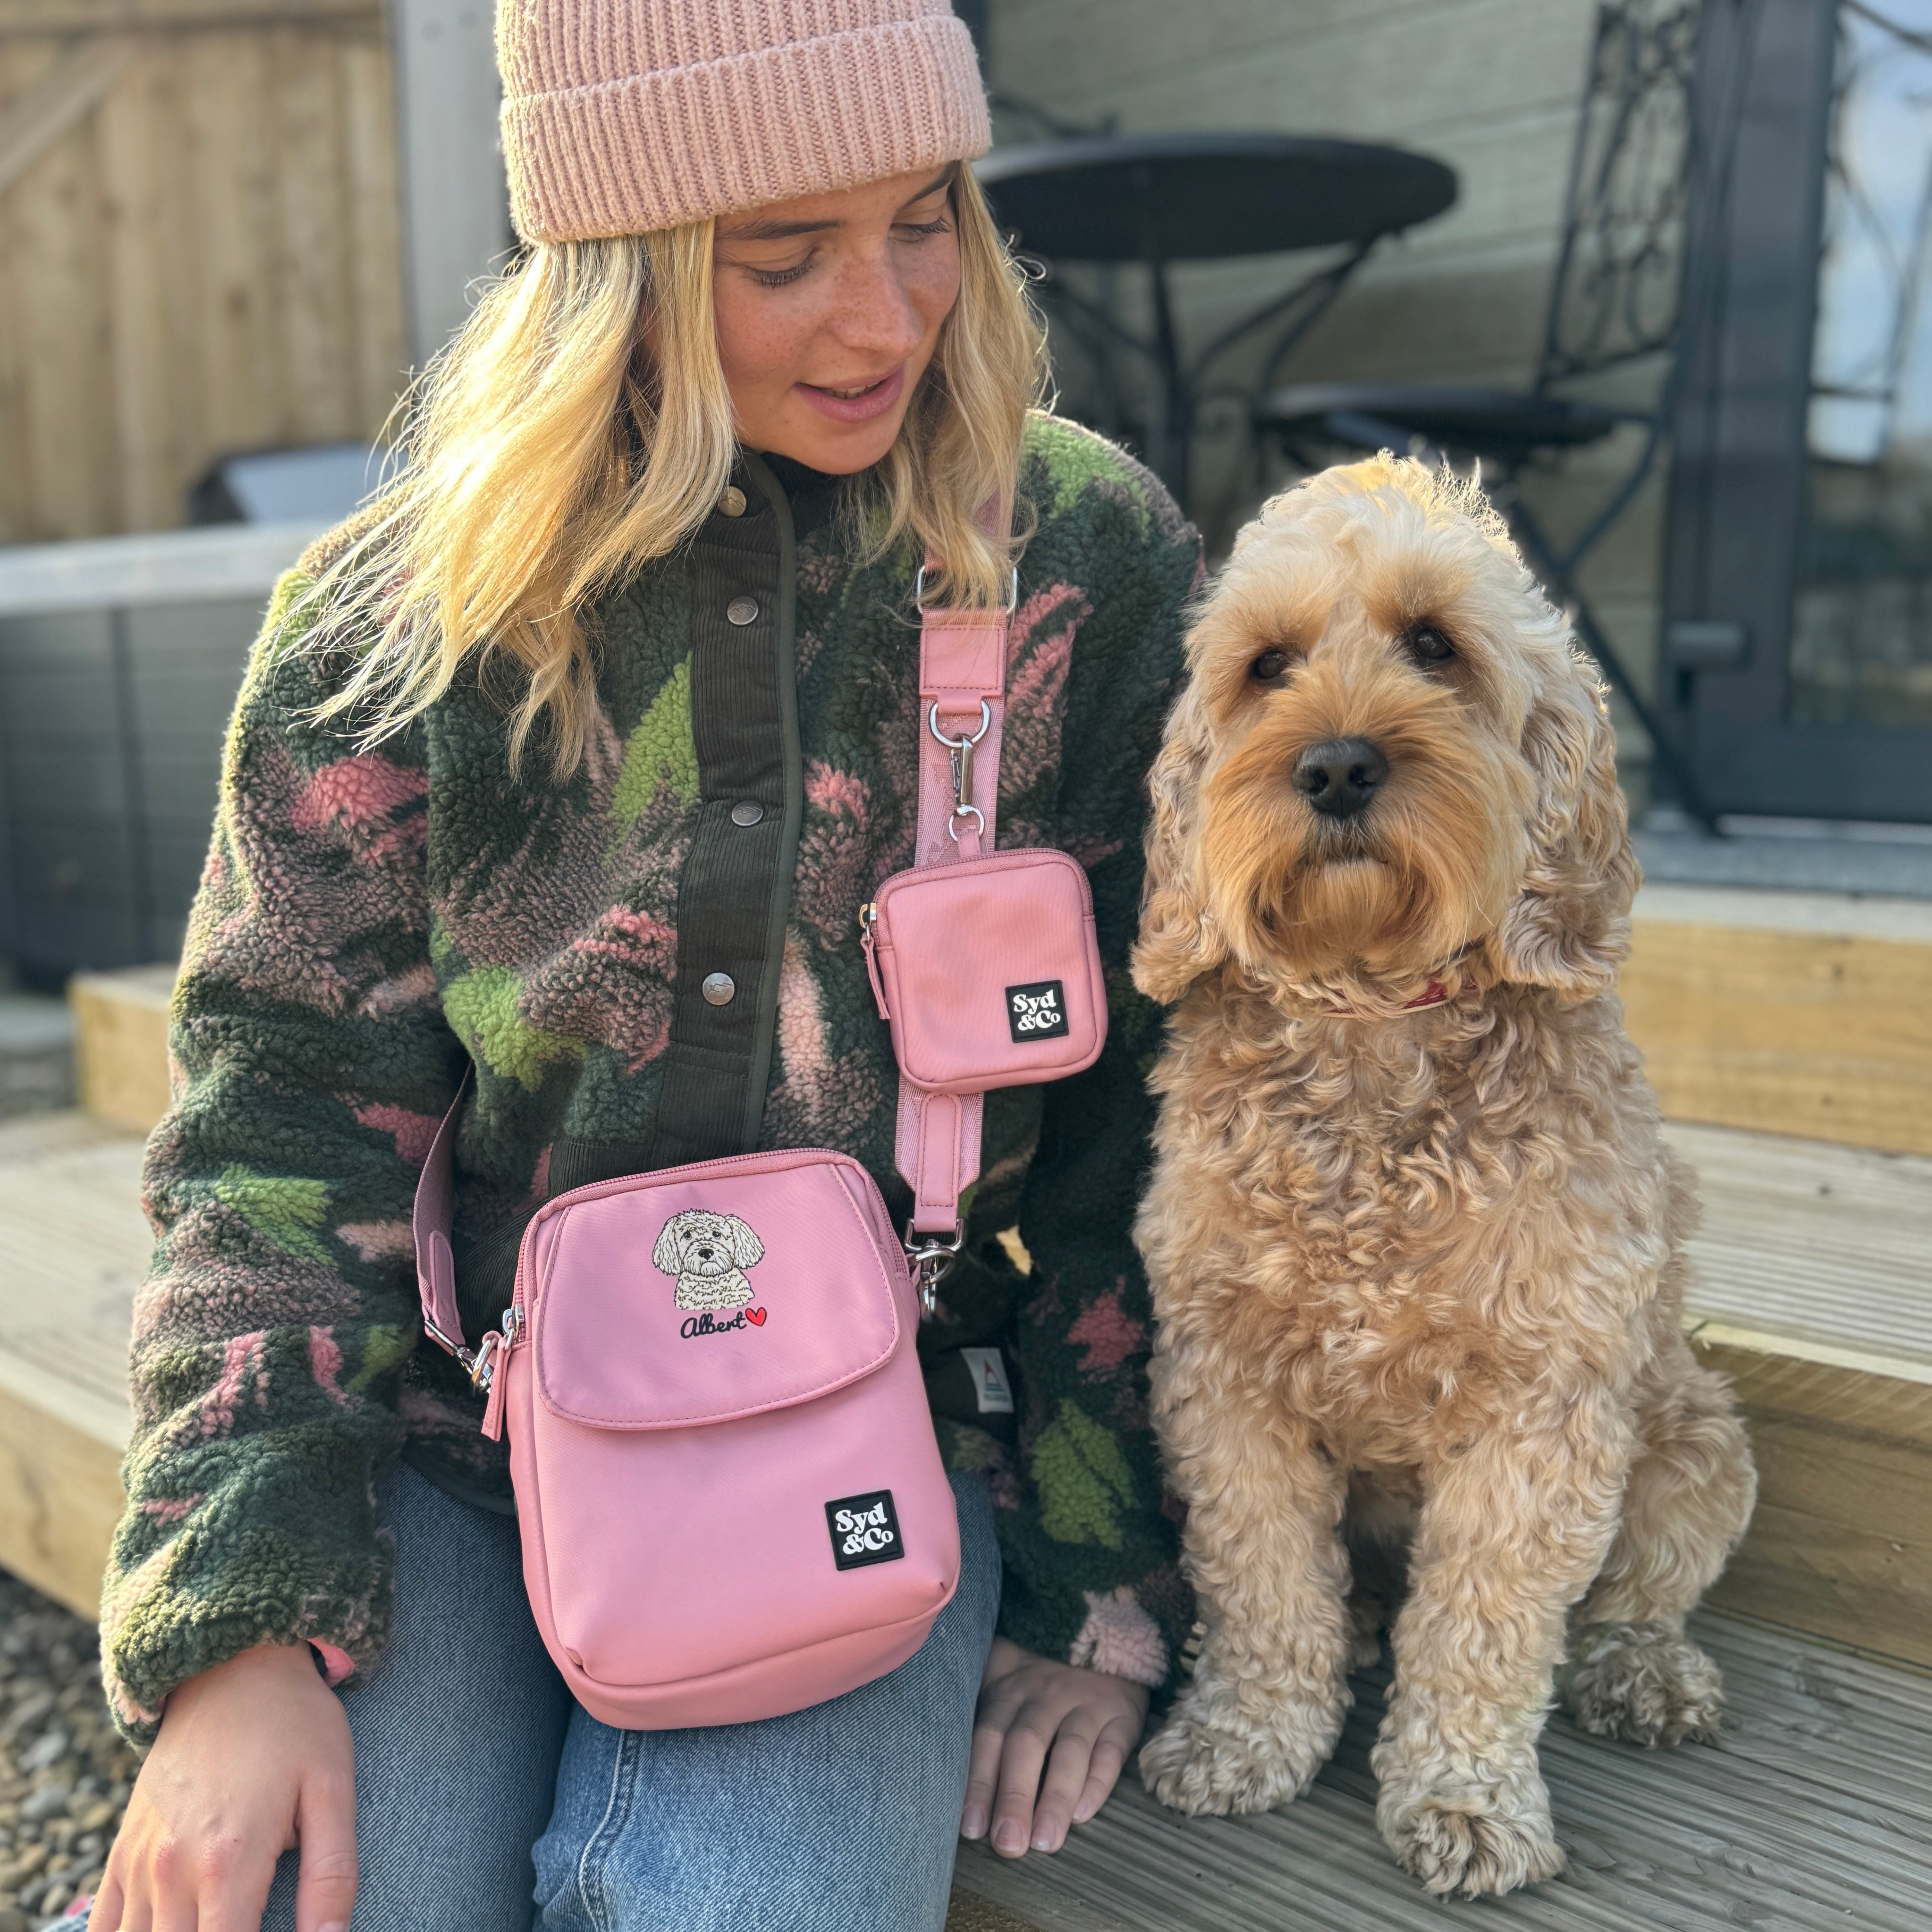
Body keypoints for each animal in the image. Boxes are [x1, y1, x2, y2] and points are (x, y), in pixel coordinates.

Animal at [1136, 456, 1762, 1901]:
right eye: (1266, 665)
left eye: (1433, 645)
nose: (1335, 762)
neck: (1372, 1017)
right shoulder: (1224, 1379)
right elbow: (1261, 1578)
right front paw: (1246, 1732)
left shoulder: (1543, 1404)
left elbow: (1482, 1621)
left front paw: (1465, 1796)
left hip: (1695, 1440)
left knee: (1636, 1595)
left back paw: (1642, 1673)